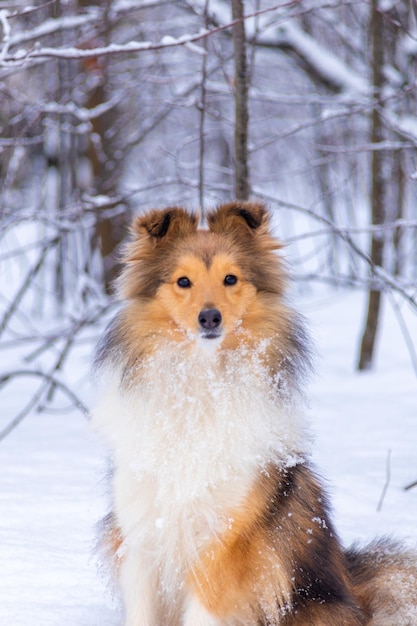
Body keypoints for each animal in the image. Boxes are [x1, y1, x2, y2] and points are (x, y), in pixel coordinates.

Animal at [93, 201, 416, 624]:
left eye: (231, 278)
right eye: (183, 281)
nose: (209, 318)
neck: (201, 386)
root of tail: (356, 592)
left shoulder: (224, 544)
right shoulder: (143, 537)